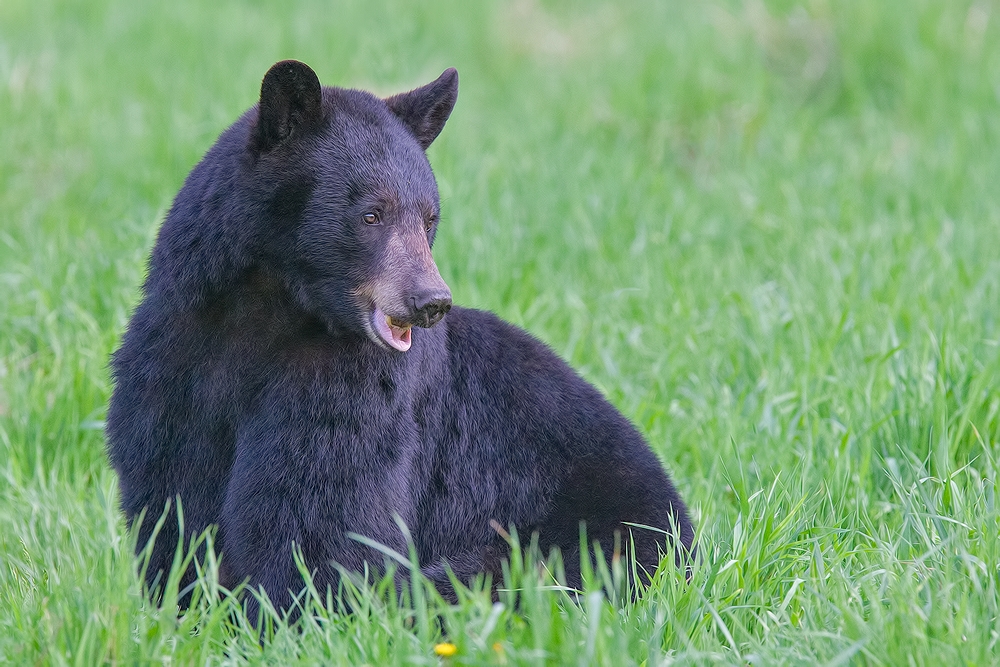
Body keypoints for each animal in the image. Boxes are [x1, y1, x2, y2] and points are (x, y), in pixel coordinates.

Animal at [105, 61, 692, 616]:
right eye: (371, 213)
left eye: (429, 218)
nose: (430, 300)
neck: (263, 315)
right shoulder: (174, 360)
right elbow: (174, 495)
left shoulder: (350, 387)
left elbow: (321, 511)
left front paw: (285, 615)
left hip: (593, 539)